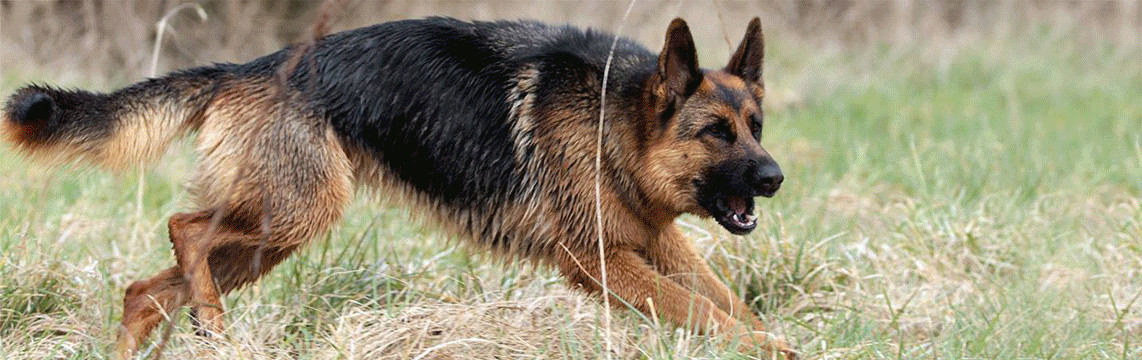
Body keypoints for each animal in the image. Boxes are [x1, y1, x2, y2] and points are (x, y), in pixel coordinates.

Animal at [0, 16, 790, 358]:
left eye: (755, 125)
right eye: (716, 133)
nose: (775, 177)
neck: (618, 119)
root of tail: (242, 69)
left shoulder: (654, 240)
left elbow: (728, 305)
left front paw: (779, 343)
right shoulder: (600, 260)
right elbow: (708, 312)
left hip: (267, 241)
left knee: (145, 291)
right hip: (296, 214)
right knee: (185, 229)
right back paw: (216, 327)